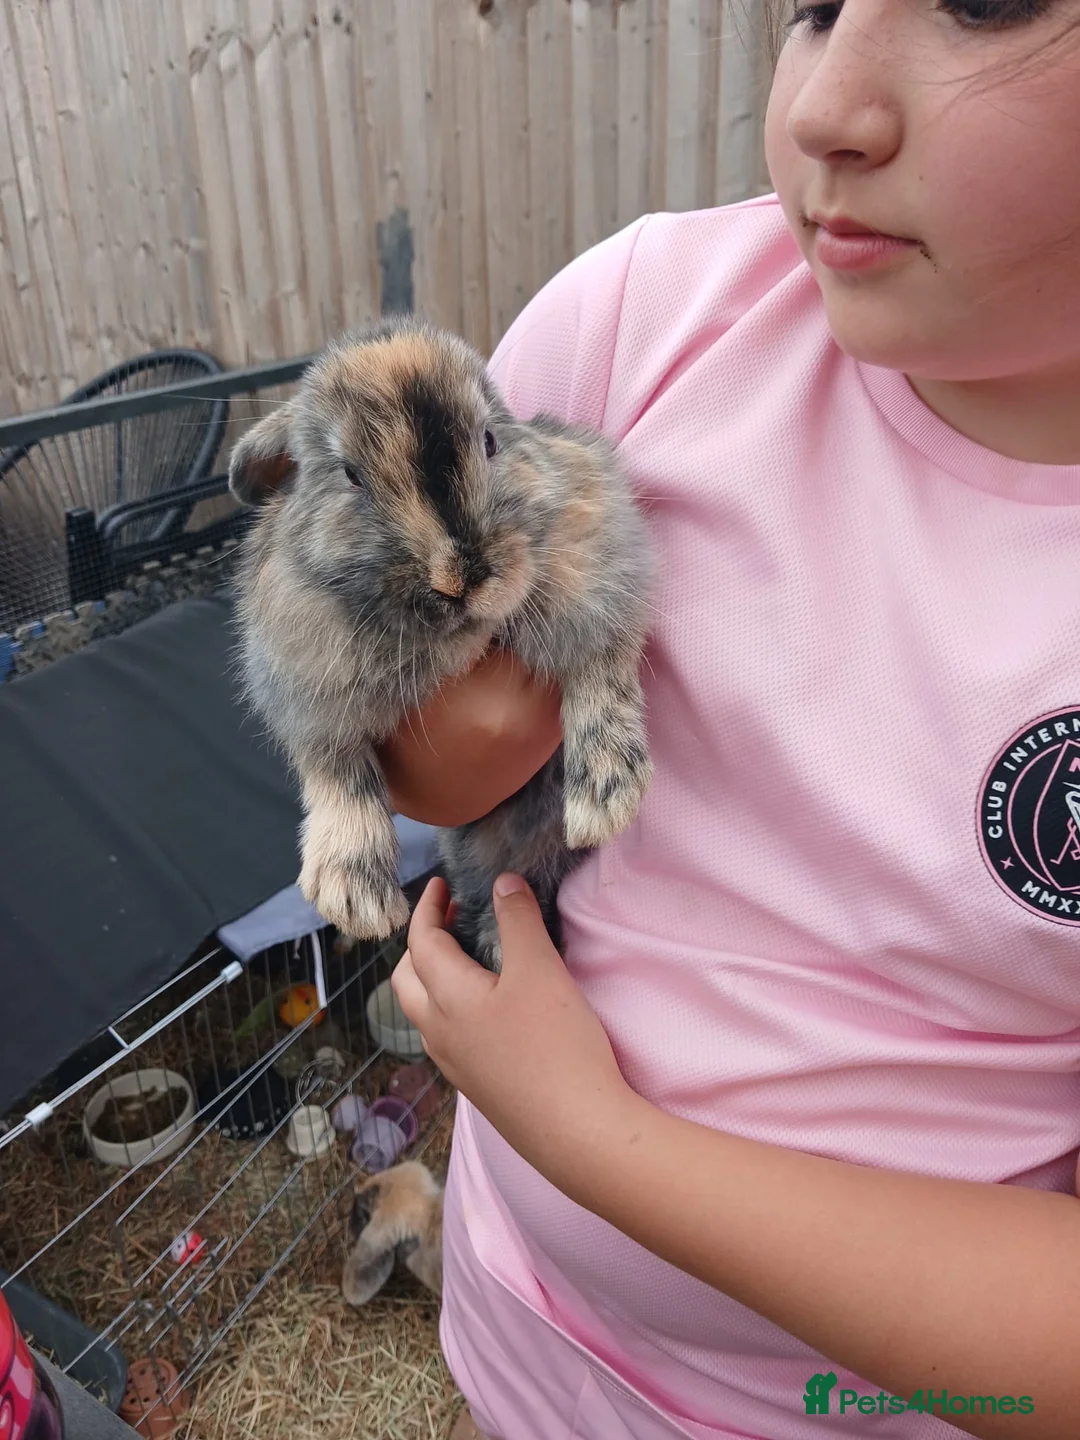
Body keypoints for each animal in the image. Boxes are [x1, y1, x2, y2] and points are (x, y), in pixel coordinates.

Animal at [228, 316, 653, 972]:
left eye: (490, 441)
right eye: (349, 474)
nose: (460, 577)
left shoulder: (598, 572)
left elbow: (600, 672)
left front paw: (607, 800)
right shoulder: (306, 683)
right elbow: (334, 766)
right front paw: (356, 899)